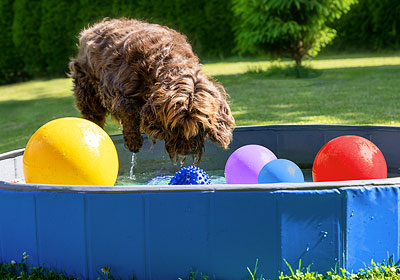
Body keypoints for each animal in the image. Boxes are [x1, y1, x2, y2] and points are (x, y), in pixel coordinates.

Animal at [70, 18, 236, 163]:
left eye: (200, 126)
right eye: (174, 127)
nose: (186, 151)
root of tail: (95, 27)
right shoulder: (114, 89)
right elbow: (127, 110)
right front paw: (133, 141)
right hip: (87, 88)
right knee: (93, 115)